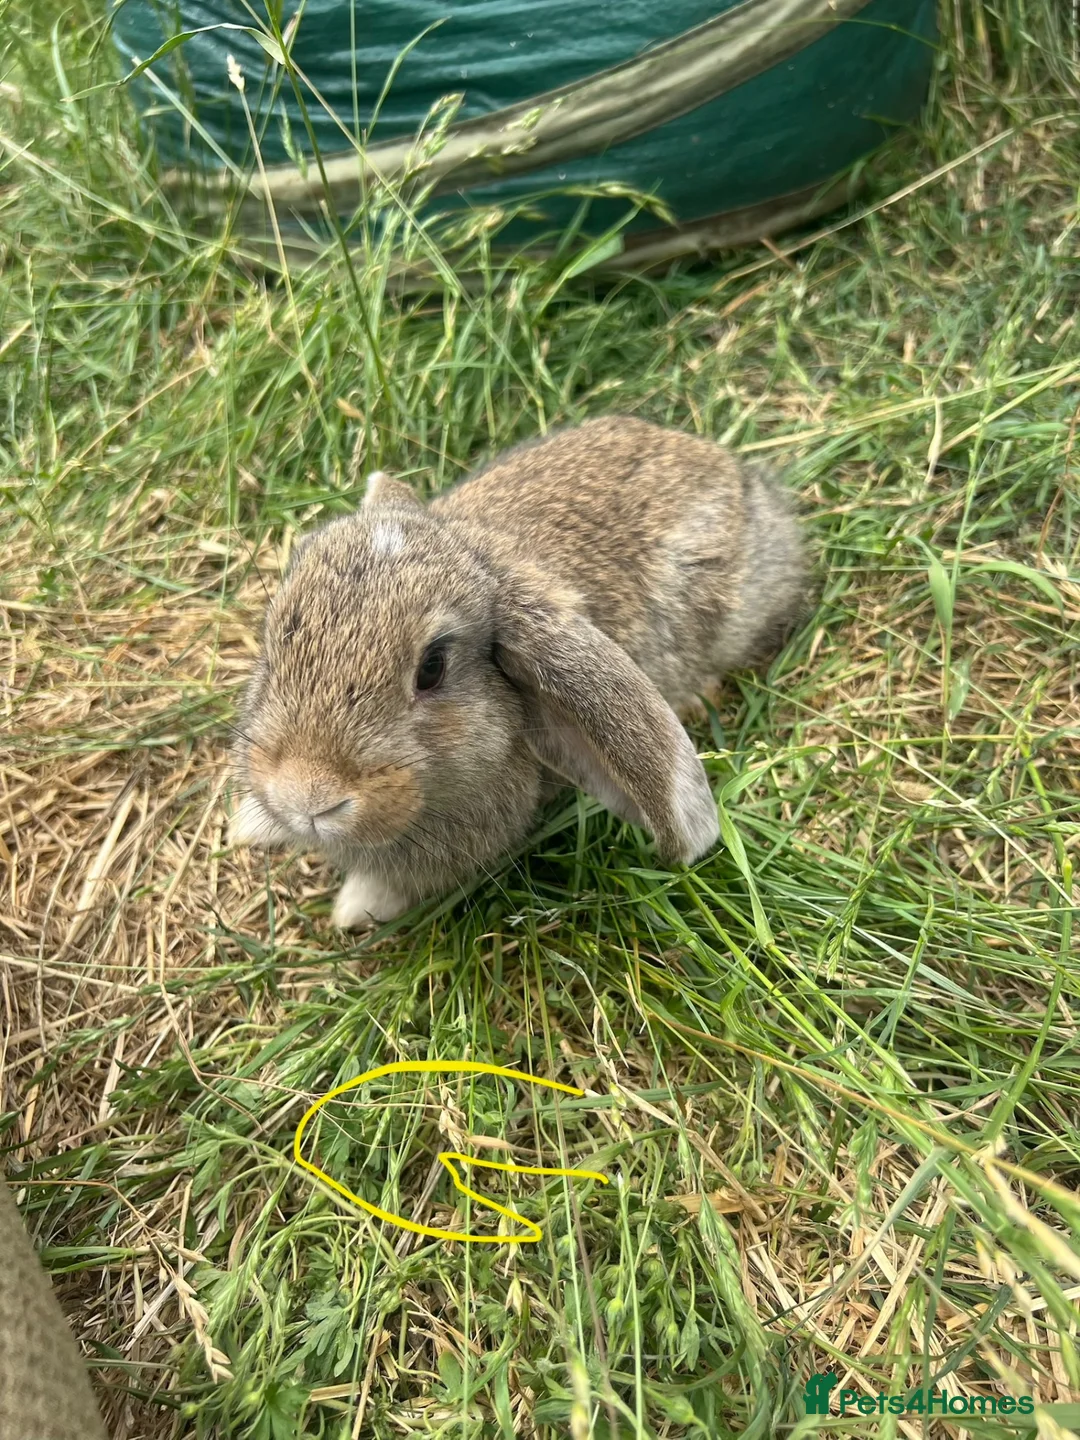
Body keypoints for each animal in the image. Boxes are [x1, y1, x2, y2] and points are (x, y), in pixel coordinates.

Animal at [228, 416, 804, 928]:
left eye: (432, 668)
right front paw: (251, 826)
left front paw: (353, 909)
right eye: (279, 632)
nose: (307, 797)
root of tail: (733, 472)